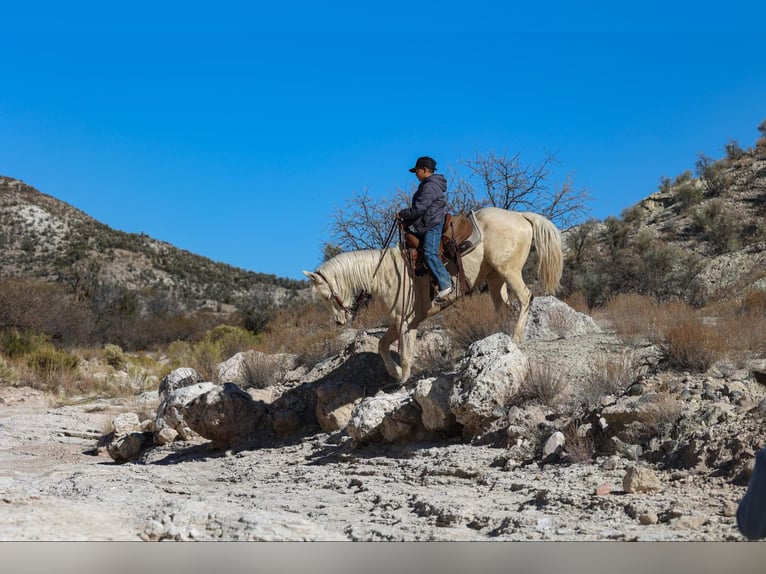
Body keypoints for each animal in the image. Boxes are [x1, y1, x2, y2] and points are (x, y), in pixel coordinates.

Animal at [303, 207, 563, 383]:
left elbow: (405, 355)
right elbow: (382, 345)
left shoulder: (406, 322)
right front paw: (395, 373)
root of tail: (520, 215)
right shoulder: (400, 321)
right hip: (495, 279)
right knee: (505, 309)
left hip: (509, 271)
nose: (339, 321)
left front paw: (402, 379)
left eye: (327, 296)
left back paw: (516, 337)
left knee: (526, 298)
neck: (385, 273)